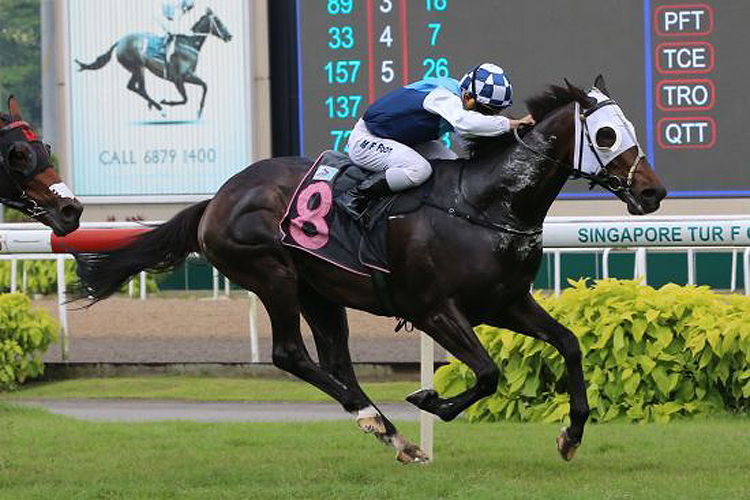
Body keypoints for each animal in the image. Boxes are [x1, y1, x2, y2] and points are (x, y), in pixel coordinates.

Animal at [73, 77, 668, 464]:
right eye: (608, 135)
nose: (653, 192)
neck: (484, 203)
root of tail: (217, 199)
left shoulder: (505, 302)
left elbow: (568, 343)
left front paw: (572, 434)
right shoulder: (433, 309)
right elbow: (487, 373)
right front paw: (429, 399)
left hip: (320, 290)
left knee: (336, 360)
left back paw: (391, 434)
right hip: (273, 275)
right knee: (291, 354)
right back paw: (377, 421)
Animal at [75, 8, 232, 118]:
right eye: (218, 21)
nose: (230, 36)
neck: (188, 44)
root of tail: (120, 42)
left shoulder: (189, 76)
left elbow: (205, 86)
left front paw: (199, 111)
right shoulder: (178, 78)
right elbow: (185, 99)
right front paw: (166, 102)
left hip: (136, 69)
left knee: (132, 87)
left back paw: (153, 104)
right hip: (138, 67)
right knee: (141, 89)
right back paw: (159, 108)